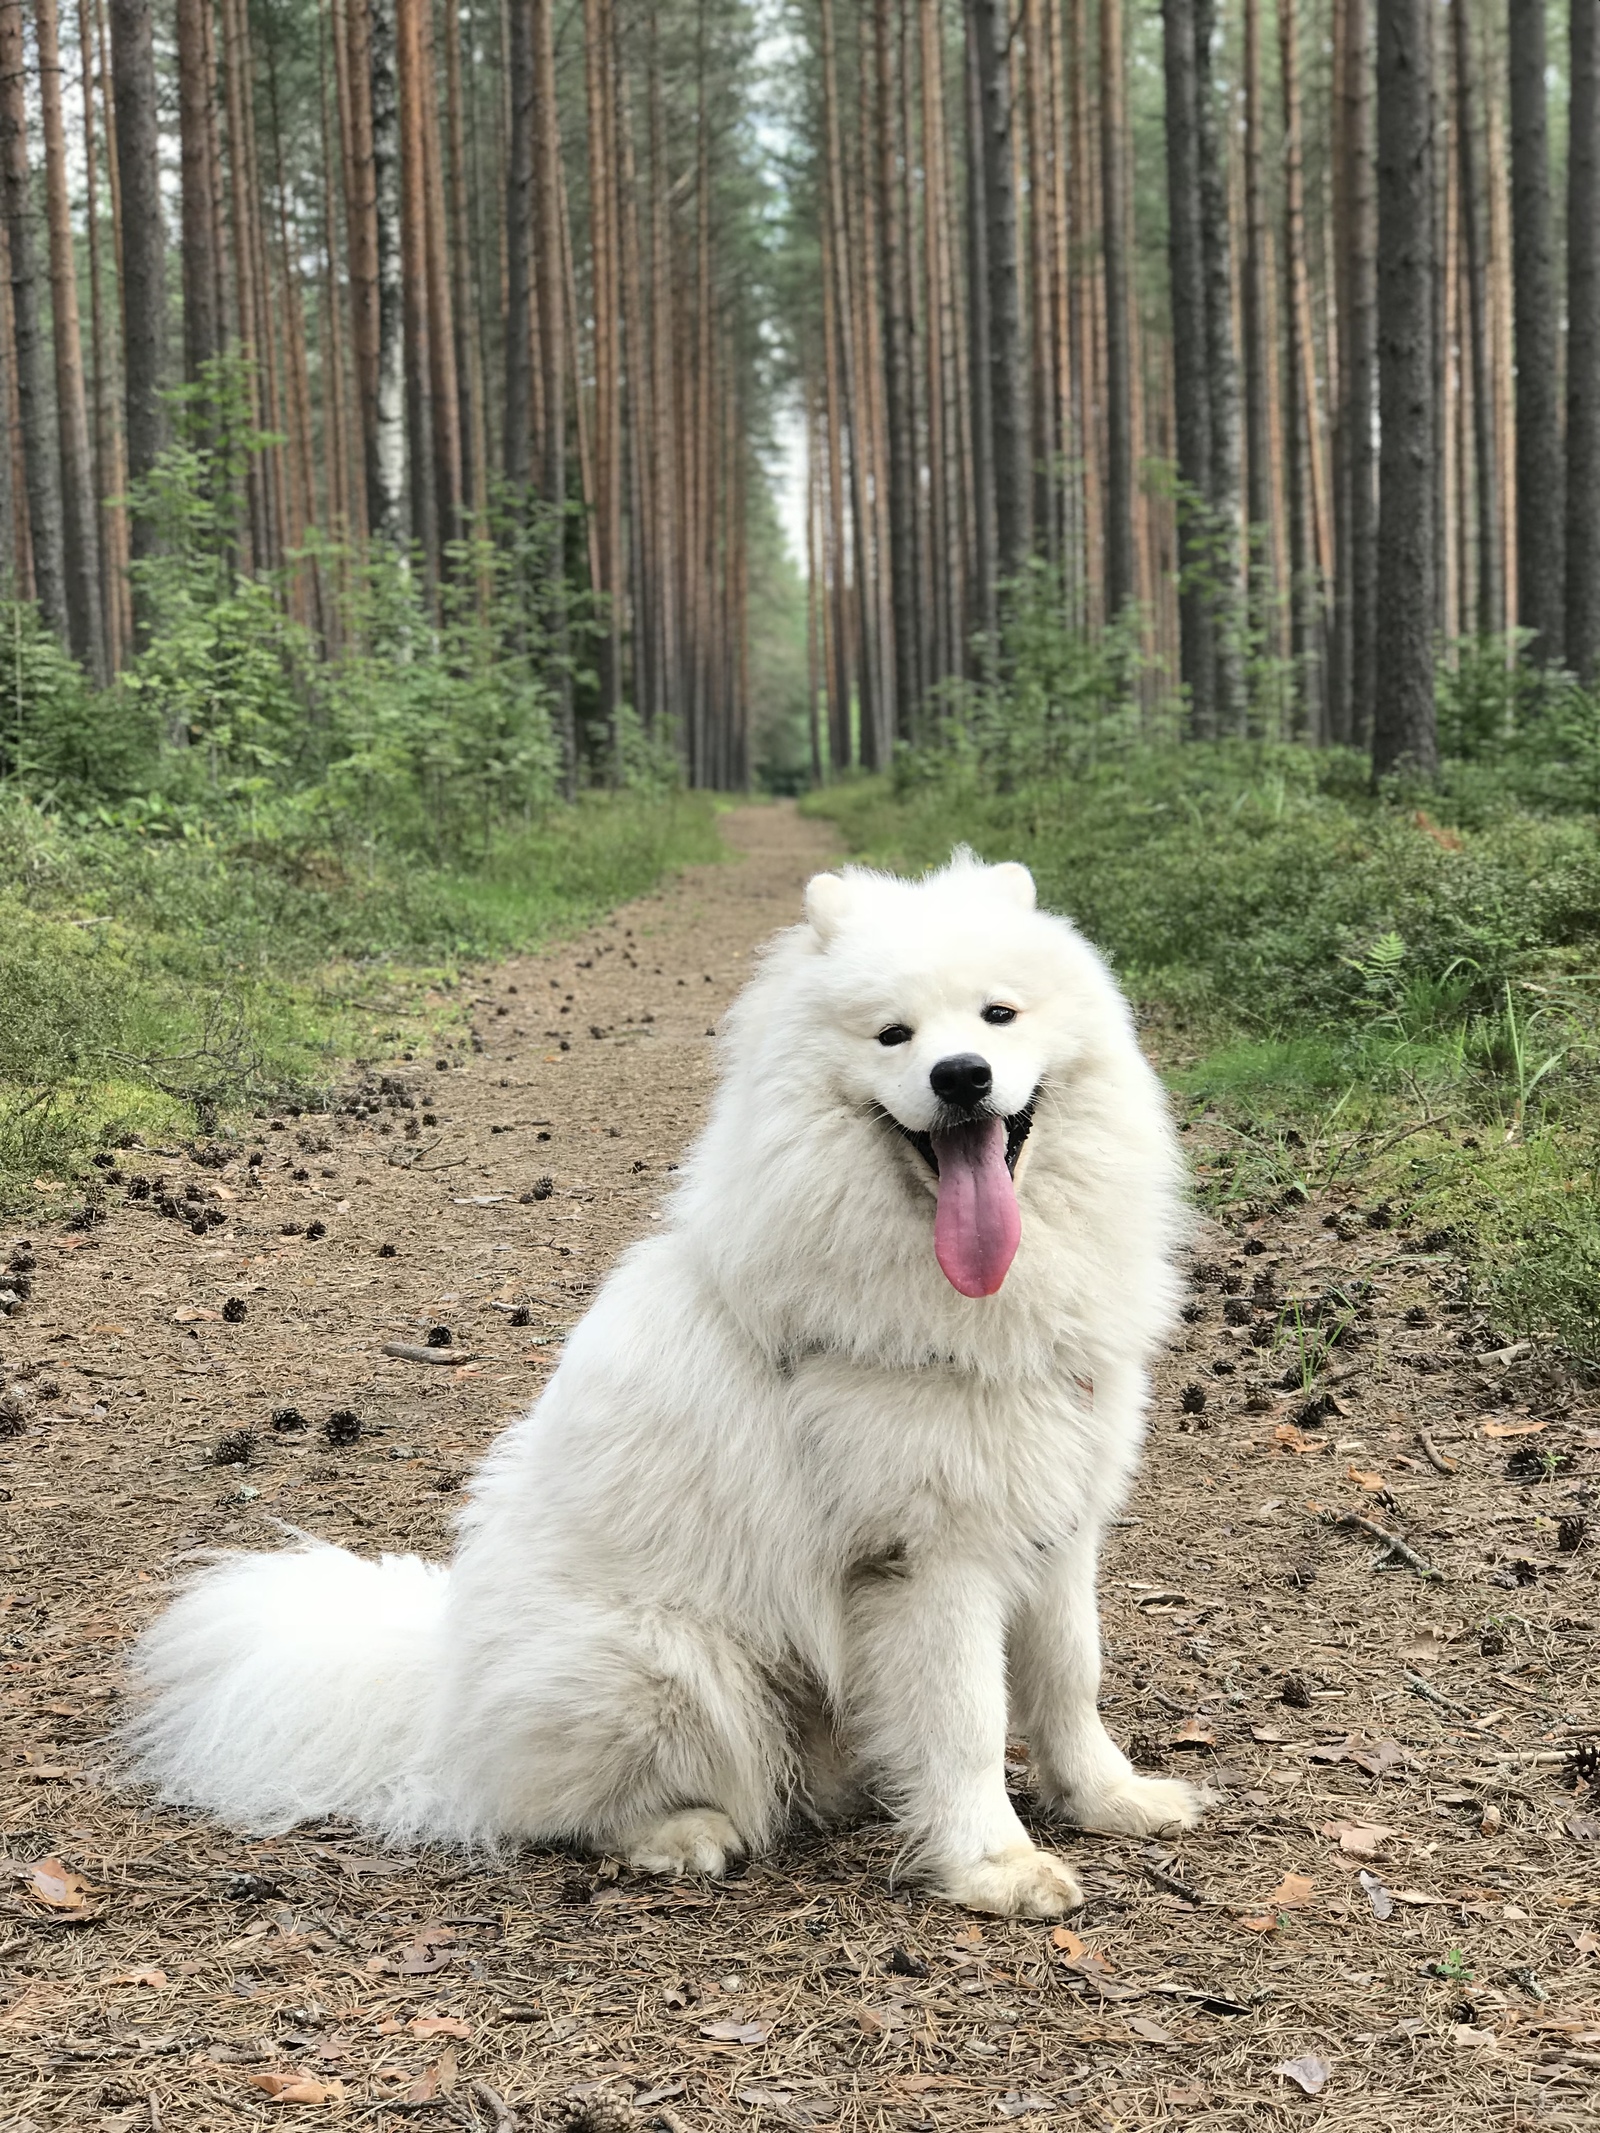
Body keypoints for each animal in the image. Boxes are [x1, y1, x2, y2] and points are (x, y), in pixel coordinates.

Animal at [128, 848, 1203, 1919]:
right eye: (893, 1033)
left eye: (998, 1015)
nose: (961, 1075)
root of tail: (439, 1692)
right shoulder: (928, 1559)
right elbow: (971, 1721)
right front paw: (996, 1864)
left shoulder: (1058, 1518)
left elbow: (1070, 1680)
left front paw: (1110, 1798)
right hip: (670, 1661)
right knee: (559, 1808)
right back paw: (681, 1834)